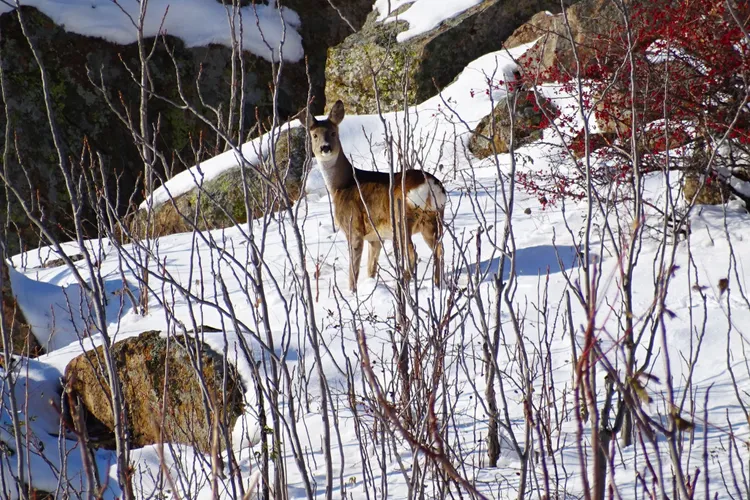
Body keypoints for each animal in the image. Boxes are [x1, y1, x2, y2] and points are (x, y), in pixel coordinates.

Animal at [302, 99, 450, 292]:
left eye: (334, 133)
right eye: (314, 135)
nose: (325, 147)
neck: (342, 185)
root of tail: (430, 186)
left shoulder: (354, 227)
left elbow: (354, 269)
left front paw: (352, 292)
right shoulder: (374, 238)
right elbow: (371, 268)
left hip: (402, 220)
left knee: (413, 254)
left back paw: (404, 284)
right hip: (434, 218)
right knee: (439, 250)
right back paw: (438, 286)